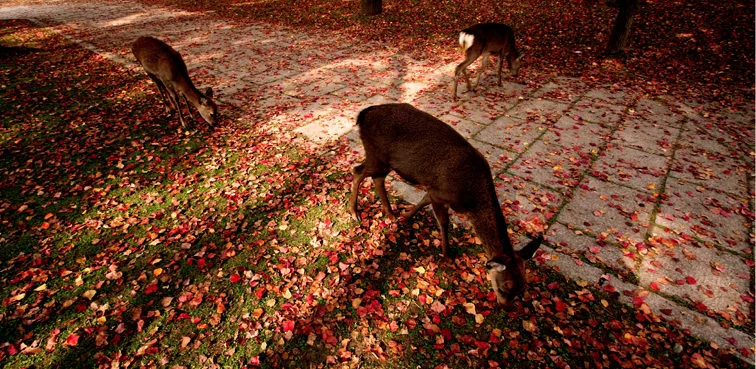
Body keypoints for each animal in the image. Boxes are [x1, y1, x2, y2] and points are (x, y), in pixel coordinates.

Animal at [348, 103, 544, 304]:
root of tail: (363, 114)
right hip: (376, 154)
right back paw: (354, 212)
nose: (505, 307)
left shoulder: (434, 189)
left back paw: (390, 213)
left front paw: (405, 217)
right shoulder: (440, 193)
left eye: (522, 288)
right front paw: (448, 254)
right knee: (357, 171)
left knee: (376, 178)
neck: (470, 200)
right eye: (504, 287)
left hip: (384, 161)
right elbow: (443, 222)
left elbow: (423, 200)